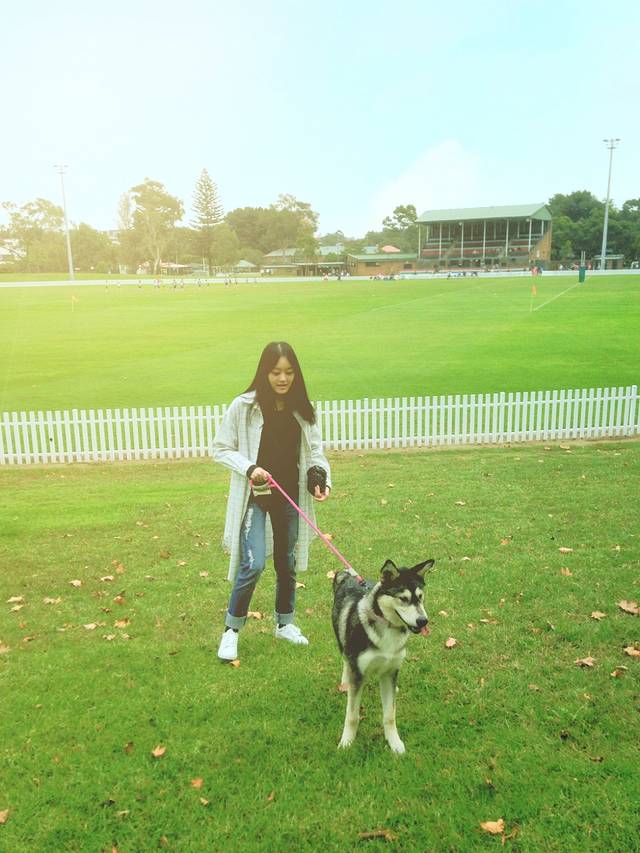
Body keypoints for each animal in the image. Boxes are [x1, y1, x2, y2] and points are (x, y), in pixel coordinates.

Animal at [332, 558, 434, 754]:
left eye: (420, 596)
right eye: (403, 599)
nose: (423, 621)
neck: (388, 627)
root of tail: (347, 576)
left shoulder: (390, 671)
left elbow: (389, 714)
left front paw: (394, 743)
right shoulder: (358, 672)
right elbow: (352, 716)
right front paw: (346, 742)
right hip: (342, 641)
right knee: (345, 660)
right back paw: (345, 682)